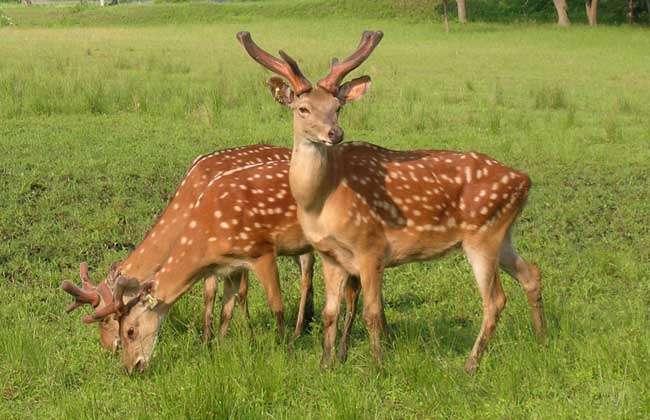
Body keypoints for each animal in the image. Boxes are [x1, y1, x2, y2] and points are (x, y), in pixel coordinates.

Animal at [61, 145, 315, 353]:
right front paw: (207, 340)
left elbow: (239, 292)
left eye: (107, 318)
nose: (108, 347)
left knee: (307, 274)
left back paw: (298, 331)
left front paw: (248, 337)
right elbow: (211, 293)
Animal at [236, 30, 547, 373]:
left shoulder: (370, 246)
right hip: (502, 234)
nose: (335, 133)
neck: (321, 201)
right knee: (532, 274)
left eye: (337, 106)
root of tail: (524, 180)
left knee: (495, 300)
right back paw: (542, 341)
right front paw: (325, 364)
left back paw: (470, 364)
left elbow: (372, 312)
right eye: (302, 109)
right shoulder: (331, 255)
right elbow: (331, 313)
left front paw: (378, 365)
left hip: (483, 235)